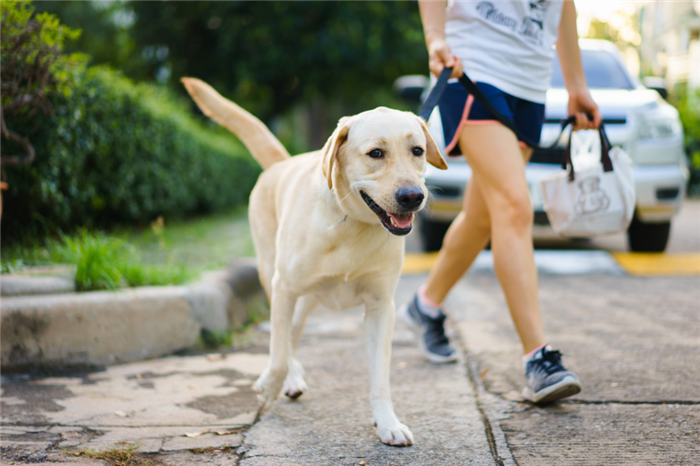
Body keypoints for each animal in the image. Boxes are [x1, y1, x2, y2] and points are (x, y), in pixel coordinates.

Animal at [179, 78, 442, 446]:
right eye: (376, 153)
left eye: (417, 151)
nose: (413, 196)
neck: (352, 224)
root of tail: (280, 163)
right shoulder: (284, 289)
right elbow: (276, 356)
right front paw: (269, 387)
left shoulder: (381, 307)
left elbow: (380, 376)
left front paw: (387, 422)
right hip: (273, 277)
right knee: (282, 339)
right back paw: (288, 379)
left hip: (308, 299)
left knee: (292, 334)